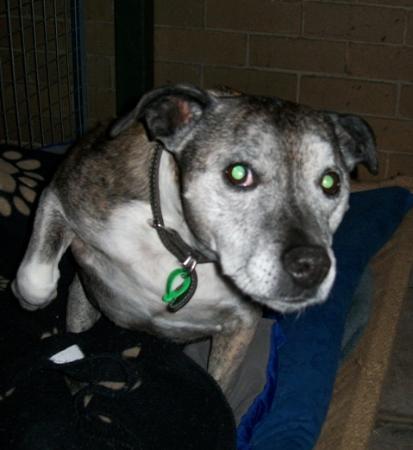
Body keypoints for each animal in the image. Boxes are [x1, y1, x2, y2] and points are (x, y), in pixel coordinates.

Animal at [12, 84, 377, 391]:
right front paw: (27, 297)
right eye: (238, 174)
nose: (312, 266)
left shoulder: (241, 326)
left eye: (332, 182)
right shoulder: (61, 197)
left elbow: (218, 386)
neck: (181, 247)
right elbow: (35, 278)